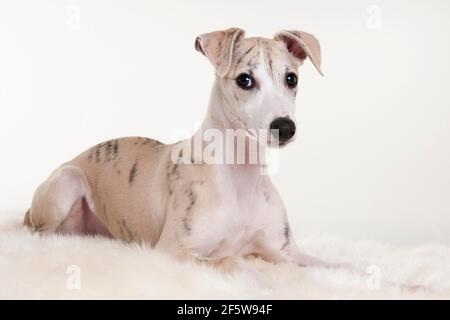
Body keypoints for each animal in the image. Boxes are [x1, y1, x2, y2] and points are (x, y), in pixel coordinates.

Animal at [23, 28, 356, 272]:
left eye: (291, 78)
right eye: (245, 79)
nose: (284, 127)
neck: (240, 173)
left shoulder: (284, 251)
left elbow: (332, 265)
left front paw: (360, 273)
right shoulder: (173, 250)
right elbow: (231, 260)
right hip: (66, 184)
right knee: (41, 233)